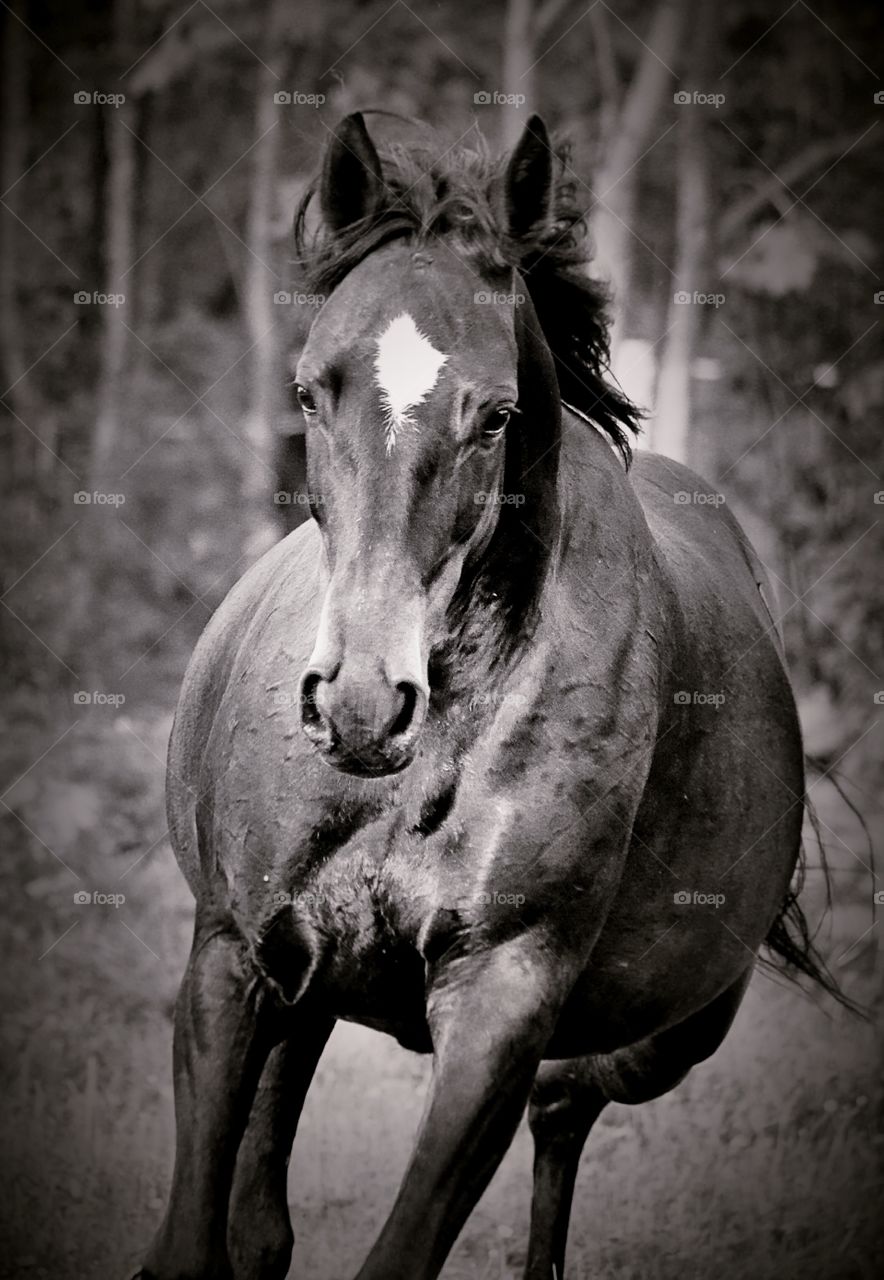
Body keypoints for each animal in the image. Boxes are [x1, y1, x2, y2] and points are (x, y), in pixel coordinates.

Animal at [139, 113, 837, 1280]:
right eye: (308, 390)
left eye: (497, 415)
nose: (361, 706)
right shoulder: (234, 958)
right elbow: (197, 1237)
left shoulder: (500, 1002)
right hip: (308, 986)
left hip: (675, 1029)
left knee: (565, 1109)